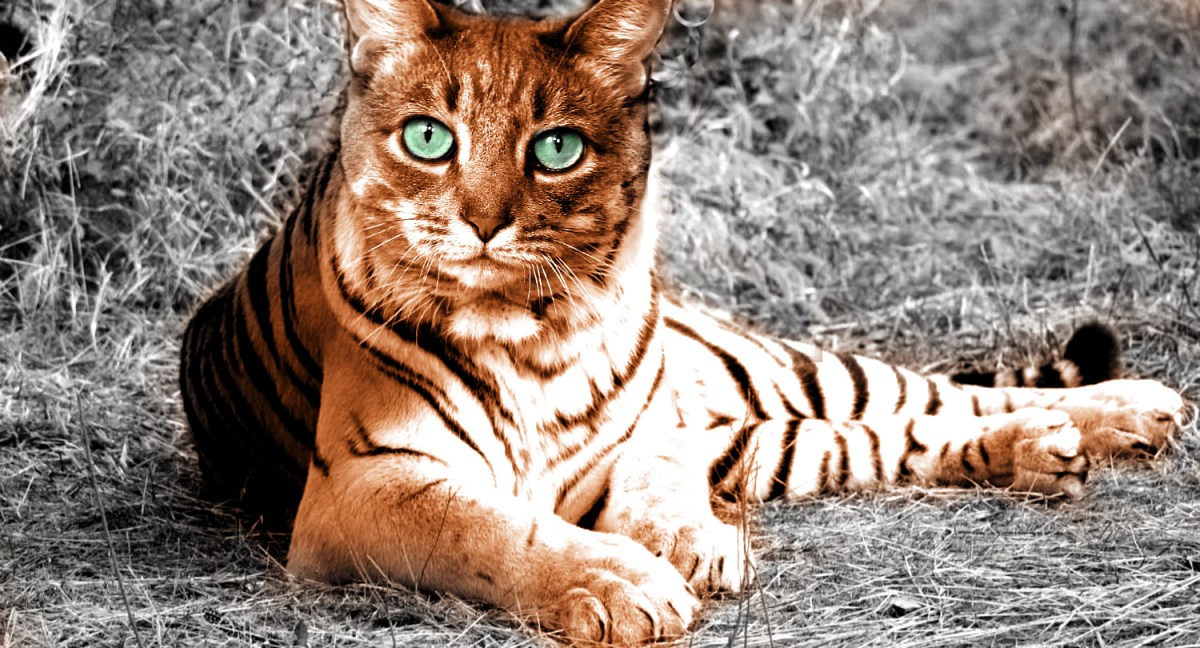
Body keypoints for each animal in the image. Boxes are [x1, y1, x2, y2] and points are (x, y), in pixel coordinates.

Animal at [178, 0, 1187, 644]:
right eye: (429, 138)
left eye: (556, 149)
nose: (484, 222)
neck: (534, 333)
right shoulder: (363, 484)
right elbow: (487, 527)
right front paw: (624, 579)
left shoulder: (650, 429)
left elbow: (655, 474)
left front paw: (690, 541)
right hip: (774, 434)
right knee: (900, 434)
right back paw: (1049, 448)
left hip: (788, 375)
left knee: (934, 395)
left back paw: (1134, 410)